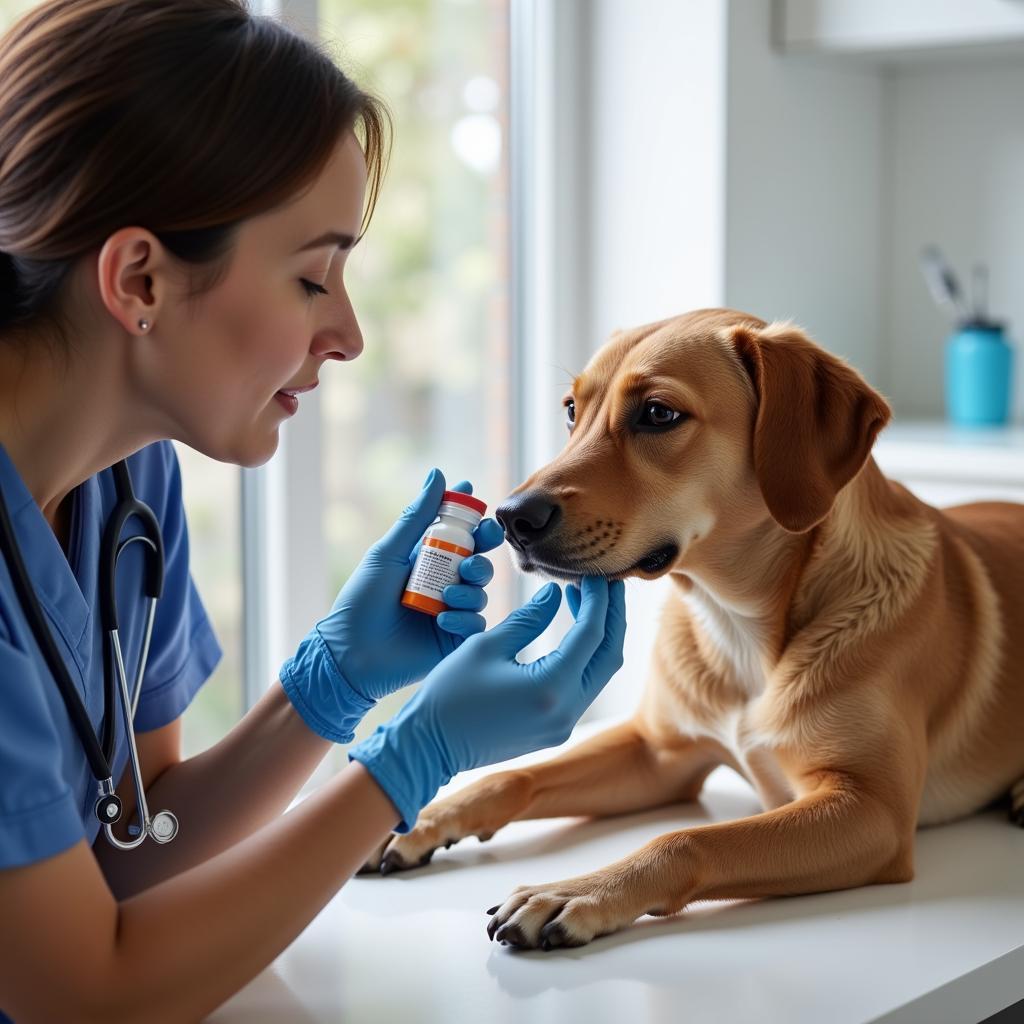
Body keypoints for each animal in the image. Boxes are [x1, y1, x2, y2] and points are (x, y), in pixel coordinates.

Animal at [358, 305, 1024, 950]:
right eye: (572, 409)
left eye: (658, 413)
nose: (512, 517)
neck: (738, 624)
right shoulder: (659, 755)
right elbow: (513, 776)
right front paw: (417, 814)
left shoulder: (871, 810)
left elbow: (688, 839)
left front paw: (578, 892)